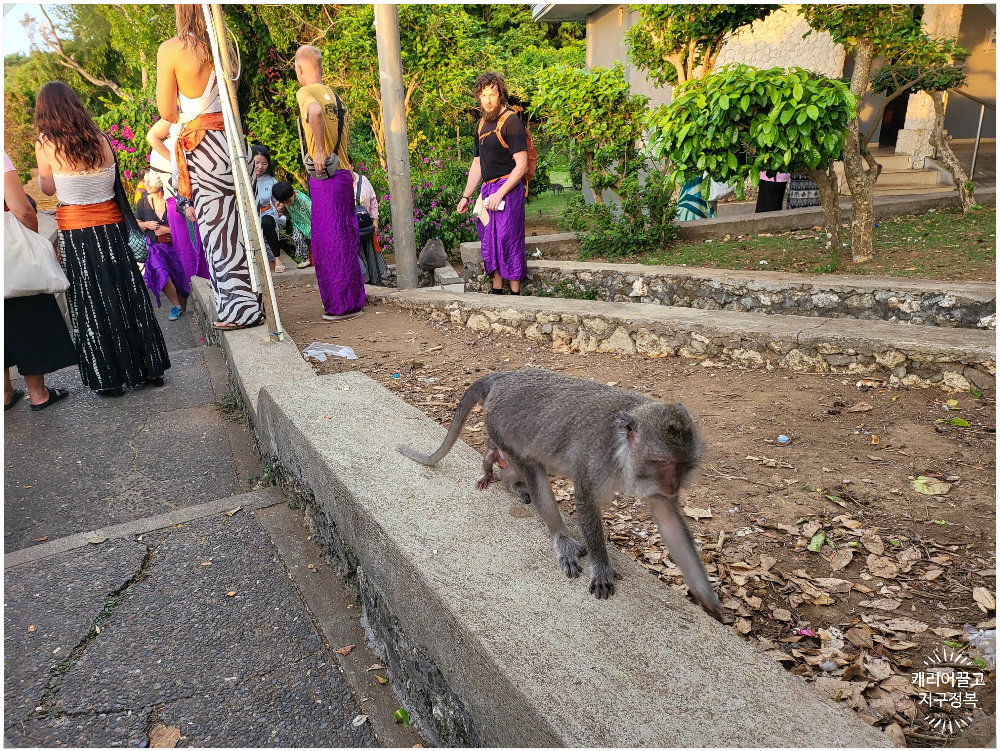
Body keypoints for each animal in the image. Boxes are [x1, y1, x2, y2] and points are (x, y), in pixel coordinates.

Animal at [394, 370, 724, 624]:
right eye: (661, 462)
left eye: (682, 463)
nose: (674, 484)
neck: (622, 446)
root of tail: (504, 376)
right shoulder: (597, 460)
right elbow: (586, 500)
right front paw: (601, 565)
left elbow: (668, 519)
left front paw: (708, 600)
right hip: (499, 424)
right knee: (531, 465)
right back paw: (559, 536)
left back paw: (510, 483)